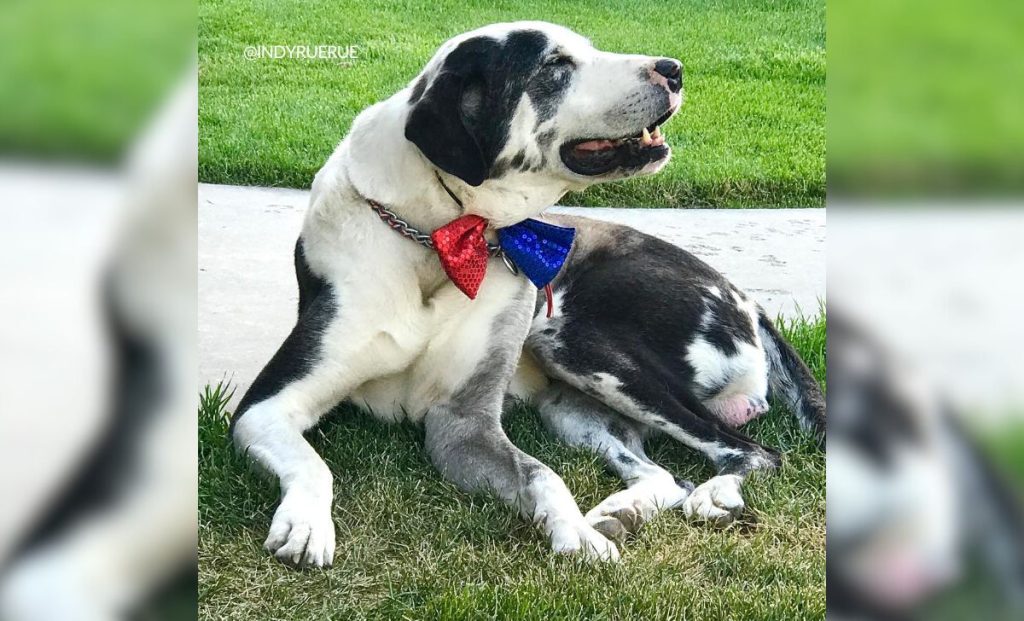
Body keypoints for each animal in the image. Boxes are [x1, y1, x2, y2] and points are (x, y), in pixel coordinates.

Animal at [230, 21, 823, 569]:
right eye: (555, 65)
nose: (673, 70)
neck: (440, 238)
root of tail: (747, 300)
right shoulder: (266, 408)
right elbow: (313, 463)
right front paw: (307, 523)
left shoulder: (464, 421)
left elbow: (544, 476)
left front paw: (576, 536)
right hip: (570, 400)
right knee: (668, 474)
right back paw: (620, 511)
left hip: (573, 344)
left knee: (753, 451)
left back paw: (709, 495)